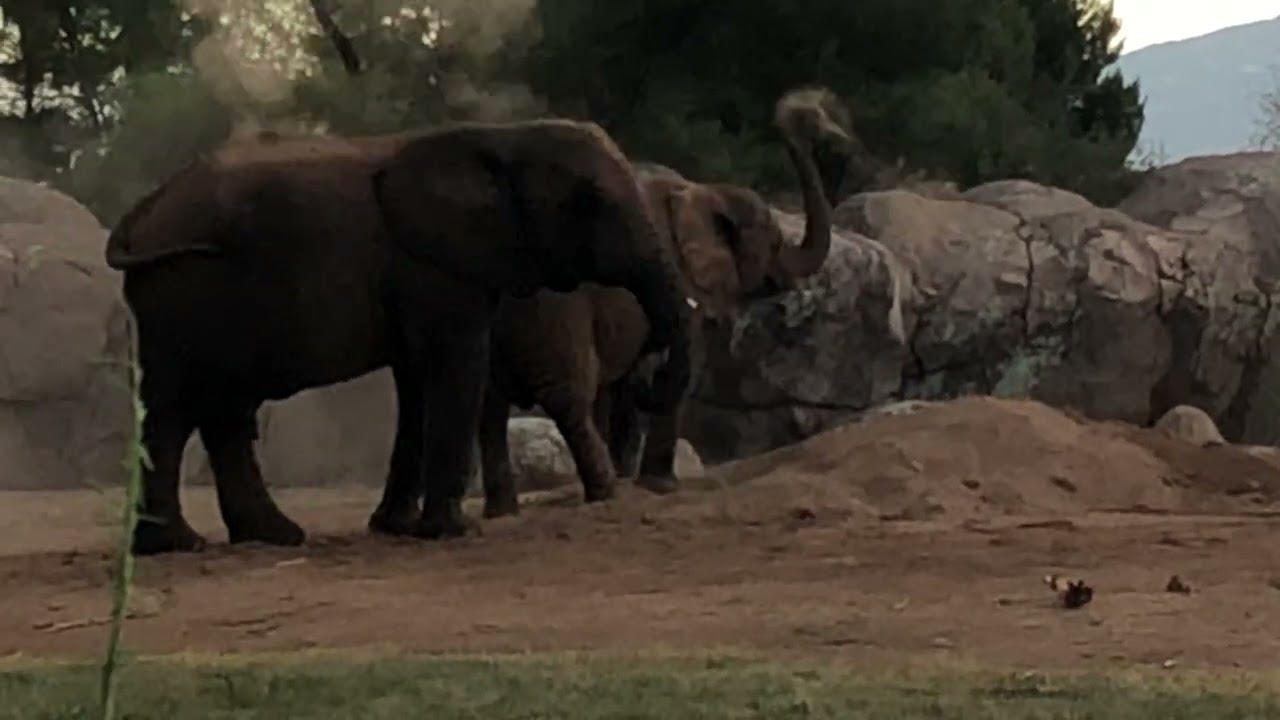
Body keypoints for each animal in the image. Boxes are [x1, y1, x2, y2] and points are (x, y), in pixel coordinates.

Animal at [104, 119, 692, 555]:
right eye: (590, 201)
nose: (648, 373)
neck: (501, 137)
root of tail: (140, 215)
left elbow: (416, 383)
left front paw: (396, 528)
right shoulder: (434, 267)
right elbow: (455, 367)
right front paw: (455, 531)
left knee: (218, 410)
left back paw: (269, 537)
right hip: (181, 289)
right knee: (176, 410)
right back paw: (179, 545)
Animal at [476, 88, 905, 514]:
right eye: (774, 243)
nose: (811, 113)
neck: (702, 190)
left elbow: (622, 380)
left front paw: (633, 476)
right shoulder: (678, 278)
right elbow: (682, 363)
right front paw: (659, 486)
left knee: (491, 405)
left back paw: (506, 513)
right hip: (552, 305)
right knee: (569, 393)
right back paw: (600, 495)